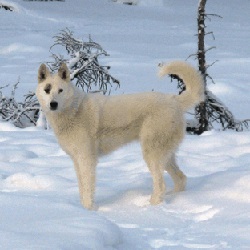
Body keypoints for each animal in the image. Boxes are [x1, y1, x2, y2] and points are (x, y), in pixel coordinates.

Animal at [37, 60, 204, 209]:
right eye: (47, 89)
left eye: (60, 90)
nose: (53, 104)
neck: (73, 110)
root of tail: (174, 100)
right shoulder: (77, 160)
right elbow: (82, 189)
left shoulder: (87, 160)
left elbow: (88, 190)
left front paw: (89, 210)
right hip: (166, 155)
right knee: (181, 179)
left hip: (152, 154)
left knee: (161, 185)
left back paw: (150, 207)